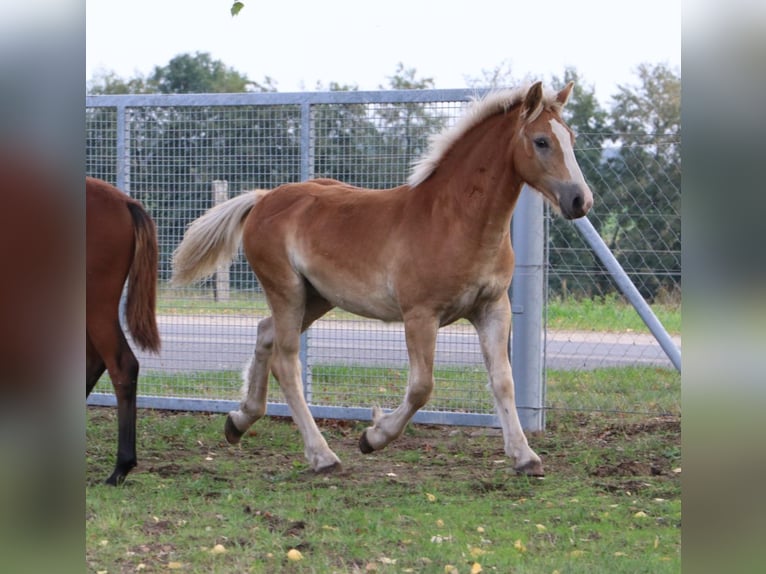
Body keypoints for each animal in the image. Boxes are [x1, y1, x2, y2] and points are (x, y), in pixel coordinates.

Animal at [174, 82, 592, 476]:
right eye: (541, 141)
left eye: (571, 138)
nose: (580, 201)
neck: (454, 220)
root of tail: (264, 198)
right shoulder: (420, 314)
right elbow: (422, 387)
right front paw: (373, 436)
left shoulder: (493, 308)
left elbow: (503, 381)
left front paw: (525, 457)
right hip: (286, 290)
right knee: (286, 362)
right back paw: (323, 457)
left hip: (316, 297)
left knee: (264, 333)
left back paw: (239, 421)